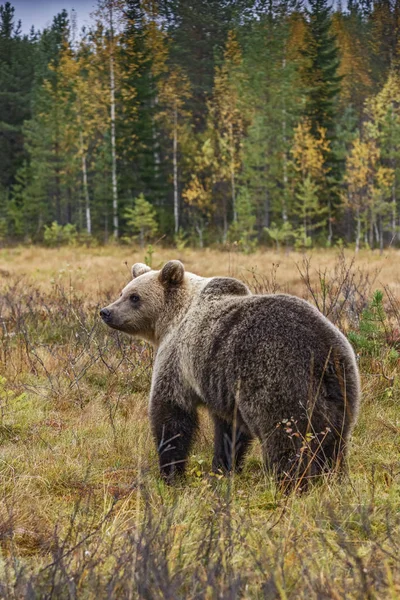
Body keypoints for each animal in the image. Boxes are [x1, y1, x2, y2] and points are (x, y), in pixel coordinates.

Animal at [101, 260, 362, 486]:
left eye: (134, 297)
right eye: (123, 292)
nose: (106, 311)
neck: (171, 320)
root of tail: (323, 353)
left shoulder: (177, 360)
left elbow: (171, 412)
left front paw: (171, 473)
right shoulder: (223, 388)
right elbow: (230, 431)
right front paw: (223, 468)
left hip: (277, 377)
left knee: (286, 436)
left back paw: (290, 481)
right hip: (341, 388)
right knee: (334, 437)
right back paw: (331, 476)